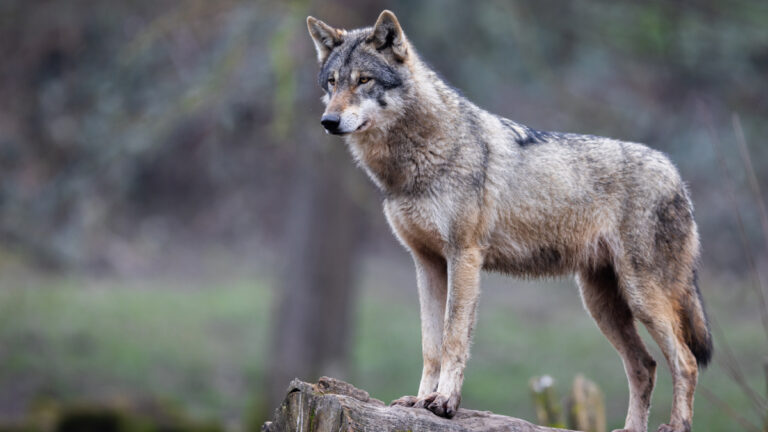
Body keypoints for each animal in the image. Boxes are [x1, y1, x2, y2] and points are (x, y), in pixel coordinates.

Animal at [306, 10, 712, 432]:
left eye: (363, 80)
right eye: (332, 82)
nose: (328, 121)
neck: (415, 161)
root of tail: (676, 175)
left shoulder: (464, 257)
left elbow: (453, 339)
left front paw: (444, 402)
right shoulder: (426, 263)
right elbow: (431, 344)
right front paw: (418, 400)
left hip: (642, 298)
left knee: (686, 362)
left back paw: (676, 425)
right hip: (602, 305)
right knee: (645, 366)